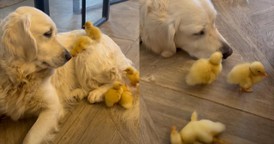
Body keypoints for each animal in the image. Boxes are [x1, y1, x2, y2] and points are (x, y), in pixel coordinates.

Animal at [0, 6, 133, 143]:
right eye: (47, 33)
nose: (69, 56)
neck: (20, 77)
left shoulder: (52, 108)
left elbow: (30, 137)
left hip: (86, 60)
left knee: (118, 78)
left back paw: (97, 93)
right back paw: (76, 93)